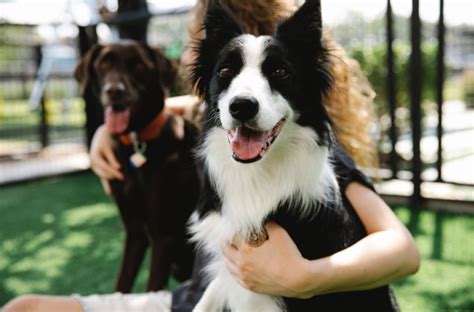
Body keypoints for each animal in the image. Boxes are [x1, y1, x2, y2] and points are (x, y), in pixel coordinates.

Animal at [74, 40, 200, 292]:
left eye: (139, 66)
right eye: (103, 64)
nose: (114, 91)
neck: (136, 140)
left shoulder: (163, 236)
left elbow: (152, 287)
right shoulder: (134, 231)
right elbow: (123, 281)